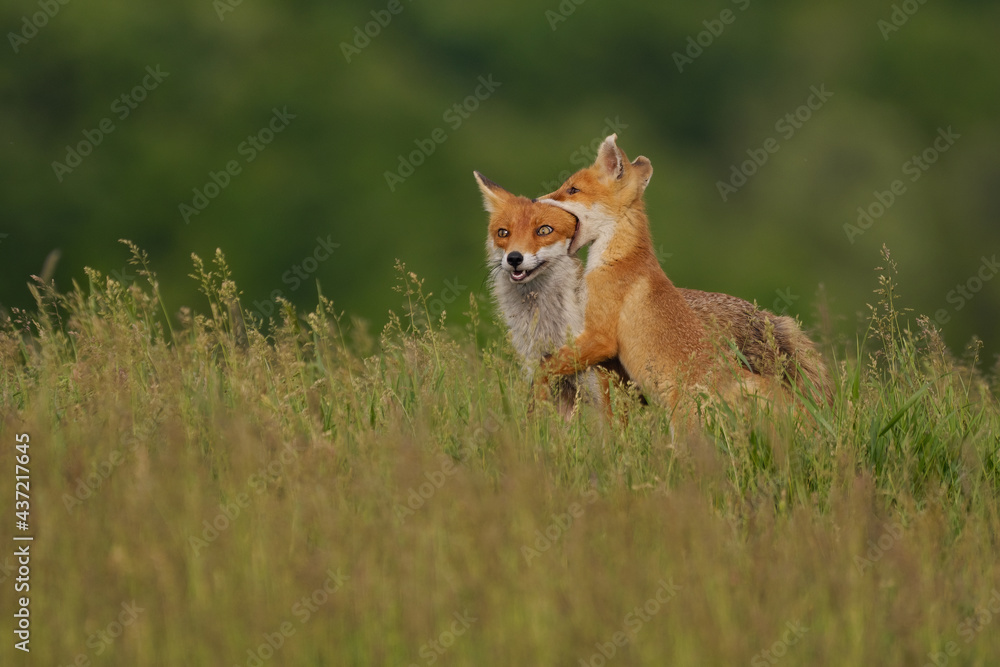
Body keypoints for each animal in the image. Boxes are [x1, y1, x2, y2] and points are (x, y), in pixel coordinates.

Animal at [474, 167, 831, 417]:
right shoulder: (561, 391)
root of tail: (767, 316)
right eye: (503, 233)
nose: (514, 258)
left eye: (544, 230)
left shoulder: (608, 388)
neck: (548, 323)